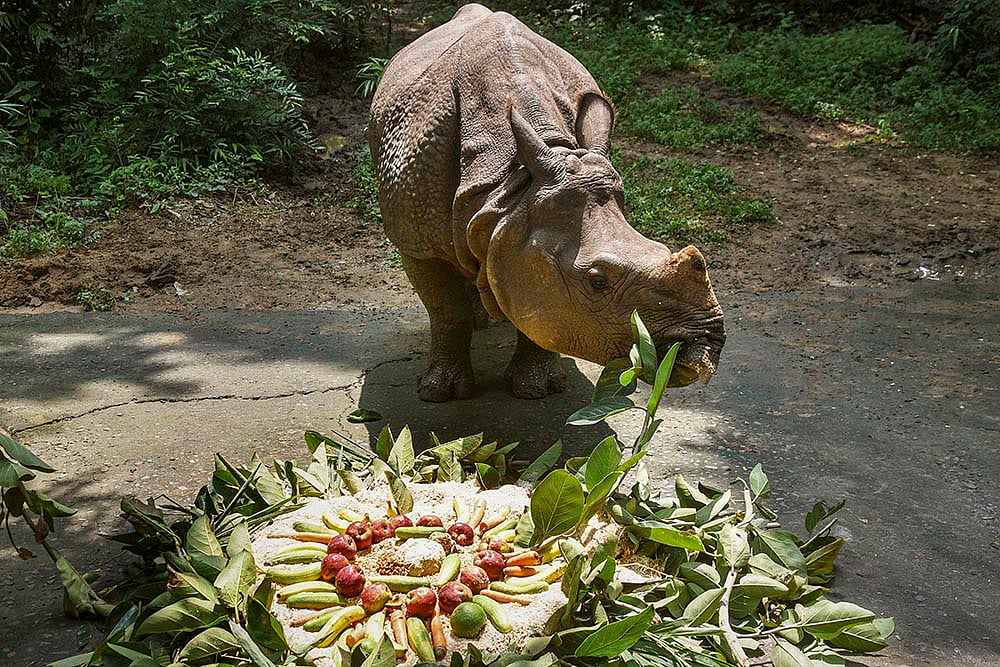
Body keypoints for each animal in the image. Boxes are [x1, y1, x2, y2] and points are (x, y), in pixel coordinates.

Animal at [368, 3, 725, 402]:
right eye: (598, 281)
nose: (706, 345)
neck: (511, 191)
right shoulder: (416, 242)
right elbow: (447, 311)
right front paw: (440, 393)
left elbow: (539, 310)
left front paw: (537, 388)